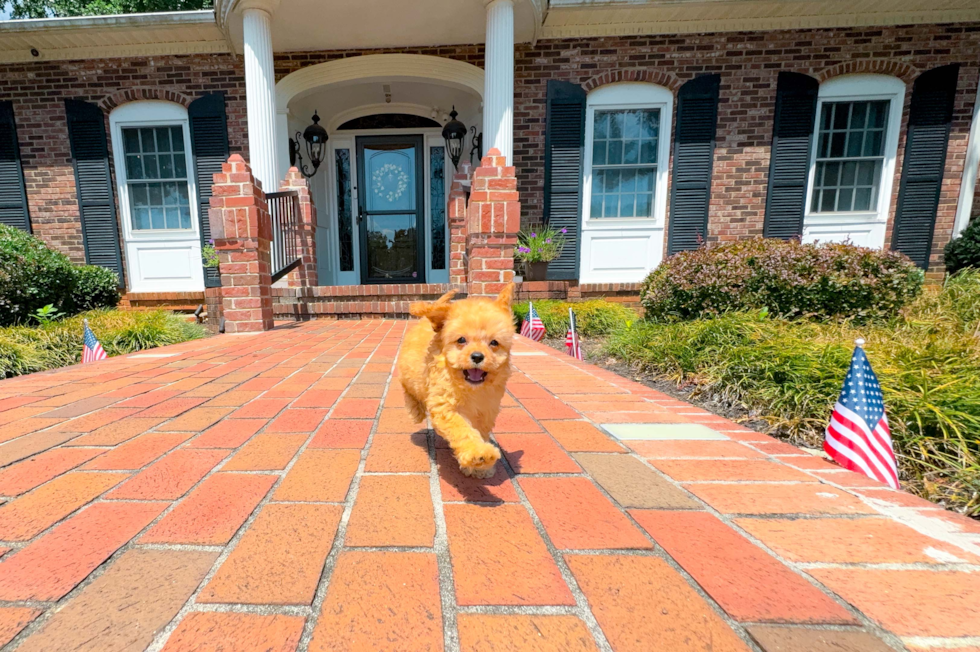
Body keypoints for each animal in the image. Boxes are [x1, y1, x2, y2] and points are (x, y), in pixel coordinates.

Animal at [396, 282, 516, 476]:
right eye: (461, 340)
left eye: (494, 343)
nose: (477, 356)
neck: (470, 388)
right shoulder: (445, 407)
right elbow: (462, 429)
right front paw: (478, 453)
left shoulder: (486, 411)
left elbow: (480, 431)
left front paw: (479, 468)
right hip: (410, 372)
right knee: (408, 389)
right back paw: (416, 411)